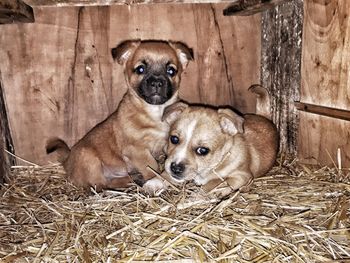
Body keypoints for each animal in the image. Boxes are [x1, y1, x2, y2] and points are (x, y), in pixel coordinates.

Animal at [45, 39, 193, 192]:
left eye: (171, 71)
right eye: (140, 69)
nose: (157, 82)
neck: (155, 113)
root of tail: (67, 161)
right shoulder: (137, 151)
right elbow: (151, 168)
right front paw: (154, 181)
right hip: (89, 159)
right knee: (100, 185)